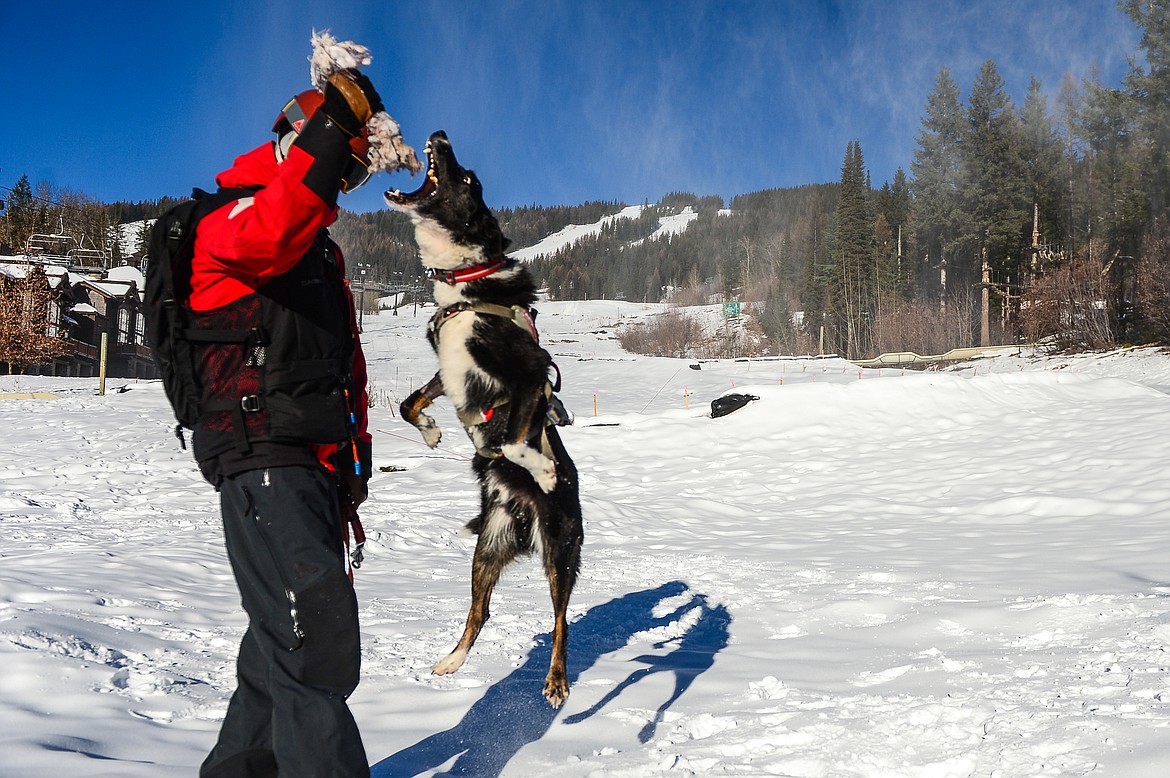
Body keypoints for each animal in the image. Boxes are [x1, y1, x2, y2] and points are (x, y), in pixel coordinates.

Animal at [386, 135, 582, 711]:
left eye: (468, 180)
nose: (441, 137)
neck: (467, 286)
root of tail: (519, 519)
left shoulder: (530, 374)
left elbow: (516, 440)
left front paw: (542, 467)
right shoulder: (450, 369)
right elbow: (408, 402)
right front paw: (430, 430)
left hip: (560, 549)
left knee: (561, 620)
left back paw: (556, 681)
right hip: (485, 549)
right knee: (480, 611)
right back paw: (452, 660)